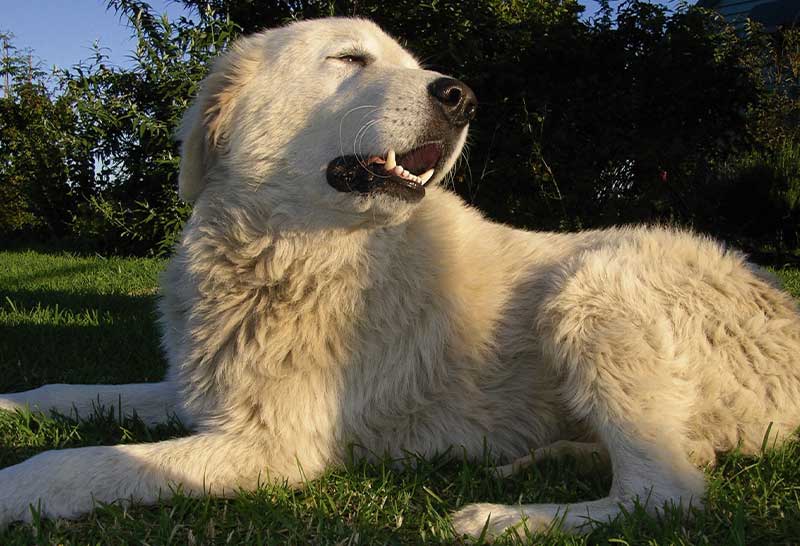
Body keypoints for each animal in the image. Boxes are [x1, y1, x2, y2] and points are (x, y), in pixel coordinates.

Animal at [1, 15, 800, 536]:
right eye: (350, 59)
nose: (462, 96)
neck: (288, 252)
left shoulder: (271, 446)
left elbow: (75, 463)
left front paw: (14, 488)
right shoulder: (206, 395)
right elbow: (66, 393)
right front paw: (12, 403)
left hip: (591, 285)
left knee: (667, 493)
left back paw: (501, 517)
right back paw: (541, 461)